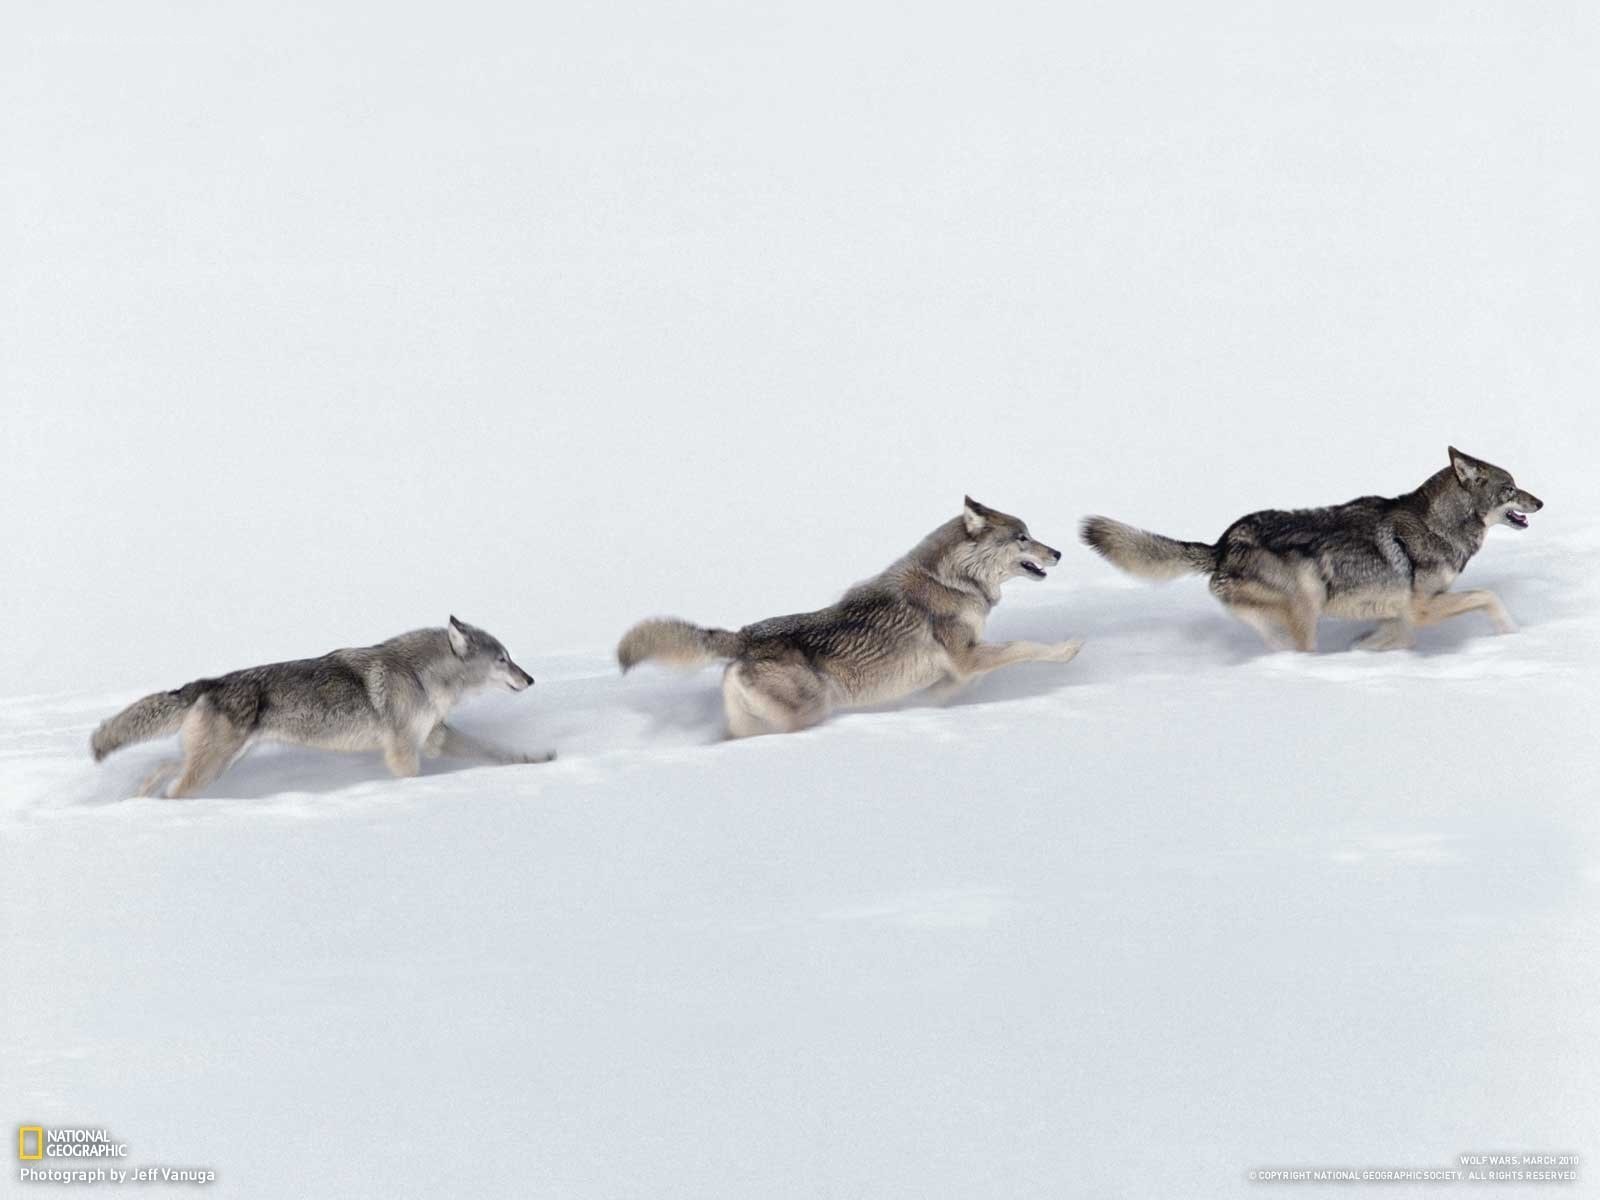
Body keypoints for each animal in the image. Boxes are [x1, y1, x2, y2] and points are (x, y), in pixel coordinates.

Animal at [90, 616, 552, 797]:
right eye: (503, 659)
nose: (530, 679)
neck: (422, 675)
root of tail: (204, 684)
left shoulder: (434, 737)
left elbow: (496, 752)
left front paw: (536, 760)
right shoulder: (404, 751)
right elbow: (413, 778)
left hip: (219, 763)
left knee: (161, 769)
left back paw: (141, 799)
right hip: (211, 769)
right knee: (173, 786)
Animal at [617, 497, 1083, 737]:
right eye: (1022, 537)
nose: (1059, 552)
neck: (954, 581)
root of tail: (743, 636)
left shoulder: (960, 666)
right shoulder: (967, 657)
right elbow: (1023, 647)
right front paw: (1067, 650)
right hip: (810, 712)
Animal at [1081, 446, 1543, 652]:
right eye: (1511, 489)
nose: (1540, 502)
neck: (1439, 525)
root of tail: (1221, 545)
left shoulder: (1403, 611)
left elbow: (1390, 635)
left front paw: (1367, 650)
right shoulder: (1423, 608)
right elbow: (1489, 596)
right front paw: (1512, 634)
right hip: (1307, 601)